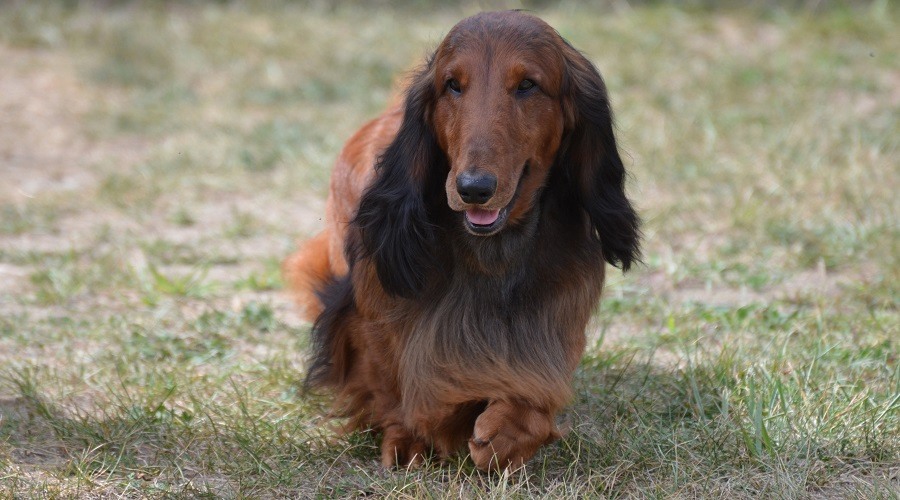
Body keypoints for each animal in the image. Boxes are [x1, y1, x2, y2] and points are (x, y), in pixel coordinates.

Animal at [284, 10, 640, 472]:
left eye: (528, 85)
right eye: (453, 84)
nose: (473, 189)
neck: (489, 255)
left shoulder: (550, 337)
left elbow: (536, 404)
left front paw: (508, 430)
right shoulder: (364, 319)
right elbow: (389, 380)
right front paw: (409, 436)